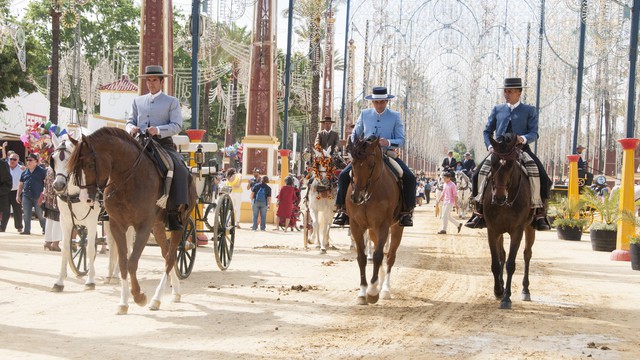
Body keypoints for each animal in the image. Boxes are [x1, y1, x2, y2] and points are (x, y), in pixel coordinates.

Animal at [68, 128, 196, 314]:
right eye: (75, 169)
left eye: (90, 165)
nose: (85, 198)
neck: (128, 179)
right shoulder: (117, 225)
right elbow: (123, 263)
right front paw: (123, 302)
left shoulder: (143, 227)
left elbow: (132, 262)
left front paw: (138, 296)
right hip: (158, 226)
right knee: (166, 255)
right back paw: (175, 292)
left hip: (180, 224)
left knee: (171, 257)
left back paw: (157, 298)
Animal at [348, 136, 402, 306]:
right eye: (352, 163)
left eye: (371, 165)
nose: (356, 197)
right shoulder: (356, 226)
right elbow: (362, 258)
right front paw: (362, 291)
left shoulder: (383, 225)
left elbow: (378, 256)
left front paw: (372, 291)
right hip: (372, 230)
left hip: (396, 227)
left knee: (390, 256)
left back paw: (384, 289)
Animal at [484, 134, 536, 310]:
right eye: (493, 162)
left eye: (511, 163)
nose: (499, 197)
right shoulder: (492, 230)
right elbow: (496, 262)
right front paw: (498, 290)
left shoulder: (517, 231)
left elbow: (511, 264)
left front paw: (506, 298)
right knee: (502, 255)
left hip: (530, 227)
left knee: (527, 255)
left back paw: (526, 290)